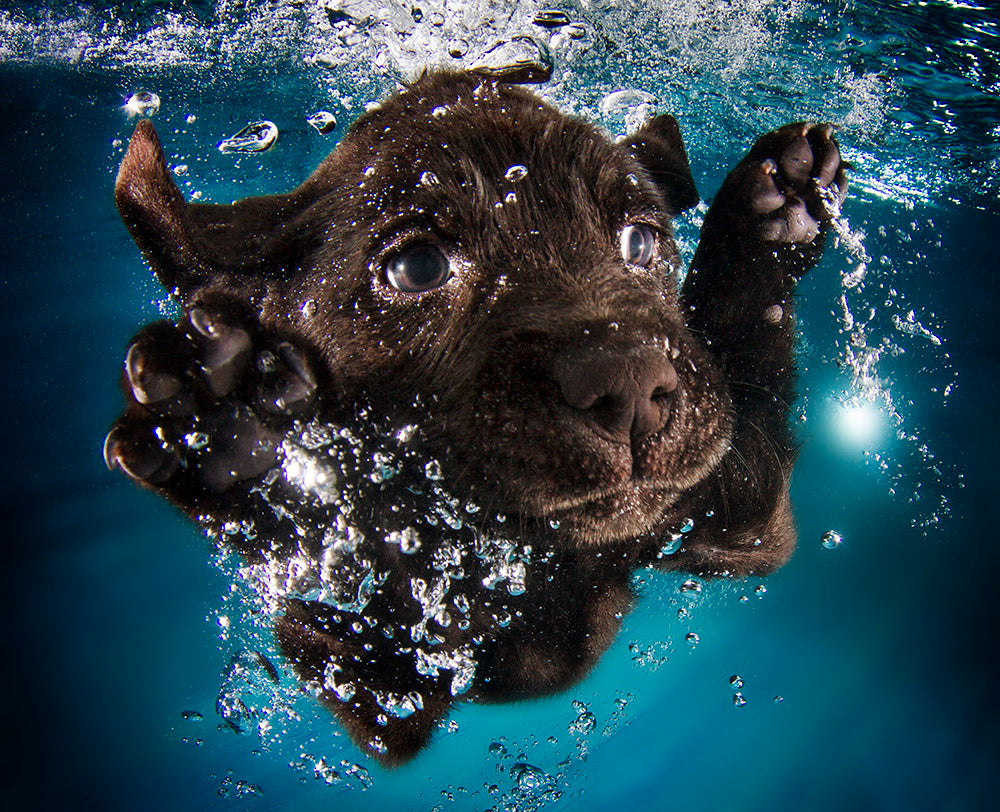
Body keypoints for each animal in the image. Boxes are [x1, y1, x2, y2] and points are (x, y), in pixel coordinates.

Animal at [107, 71, 844, 768]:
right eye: (416, 268)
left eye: (640, 241)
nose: (631, 387)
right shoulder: (385, 692)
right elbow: (364, 592)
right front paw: (244, 450)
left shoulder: (746, 525)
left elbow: (746, 376)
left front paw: (773, 213)